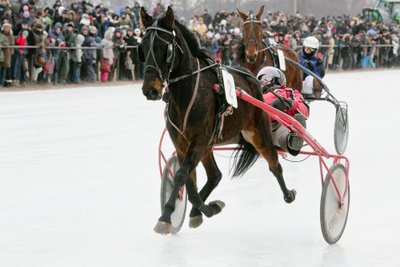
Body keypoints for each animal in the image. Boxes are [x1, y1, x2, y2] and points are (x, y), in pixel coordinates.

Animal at [139, 6, 296, 236]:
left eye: (164, 48)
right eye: (141, 47)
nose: (149, 89)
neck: (187, 92)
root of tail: (252, 78)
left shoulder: (199, 139)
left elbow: (182, 175)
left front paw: (172, 215)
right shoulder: (182, 142)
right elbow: (186, 178)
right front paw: (182, 211)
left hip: (257, 131)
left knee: (274, 164)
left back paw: (288, 194)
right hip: (210, 144)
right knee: (215, 175)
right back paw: (197, 211)